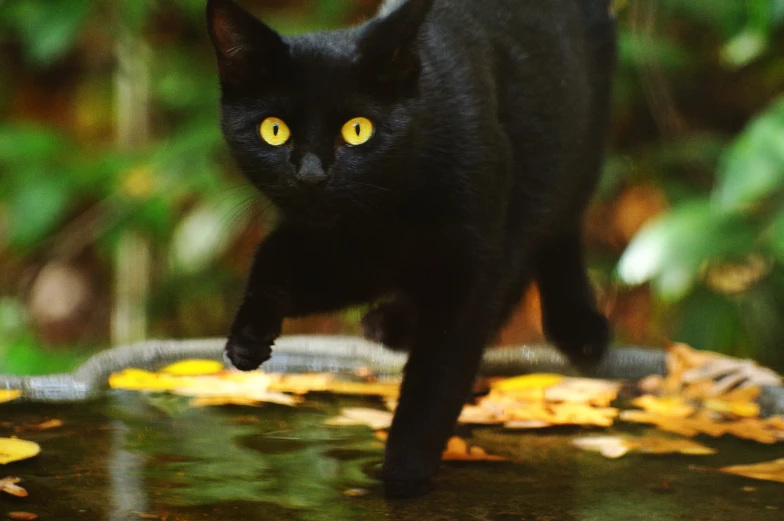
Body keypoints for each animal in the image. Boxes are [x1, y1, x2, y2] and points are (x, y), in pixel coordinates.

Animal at [207, 0, 620, 498]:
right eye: (273, 130)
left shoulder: (469, 263)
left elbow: (437, 377)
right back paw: (395, 324)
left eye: (358, 129)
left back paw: (578, 327)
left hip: (579, 151)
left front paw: (403, 477)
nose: (311, 175)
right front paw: (247, 339)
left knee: (555, 233)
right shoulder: (352, 255)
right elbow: (273, 254)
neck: (387, 215)